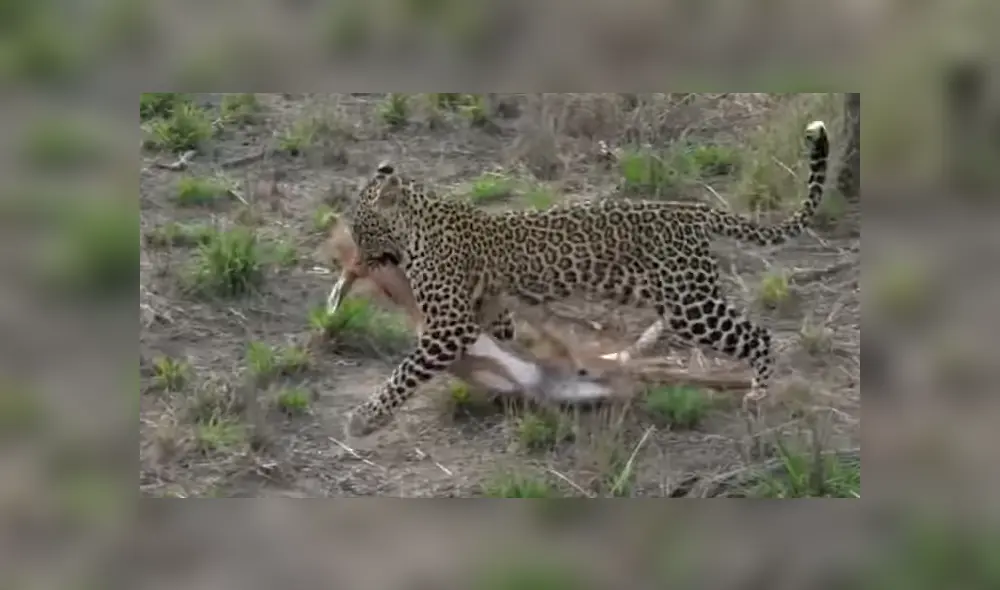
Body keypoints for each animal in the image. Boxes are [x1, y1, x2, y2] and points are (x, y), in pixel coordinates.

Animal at [342, 119, 830, 437]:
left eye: (360, 228)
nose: (357, 263)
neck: (416, 225)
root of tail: (693, 210)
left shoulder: (449, 326)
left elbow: (405, 371)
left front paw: (366, 416)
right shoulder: (490, 311)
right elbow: (507, 348)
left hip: (690, 305)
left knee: (760, 335)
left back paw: (758, 395)